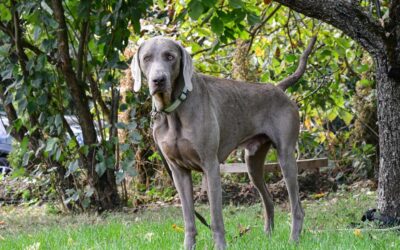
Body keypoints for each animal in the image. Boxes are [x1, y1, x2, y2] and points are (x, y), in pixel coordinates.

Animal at [133, 35, 318, 248]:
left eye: (170, 57)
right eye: (146, 58)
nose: (158, 80)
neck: (174, 111)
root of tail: (278, 88)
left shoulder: (210, 165)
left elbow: (216, 218)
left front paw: (220, 245)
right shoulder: (178, 171)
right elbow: (189, 219)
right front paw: (188, 246)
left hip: (286, 156)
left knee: (297, 207)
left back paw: (293, 239)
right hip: (252, 161)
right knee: (269, 199)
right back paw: (268, 236)